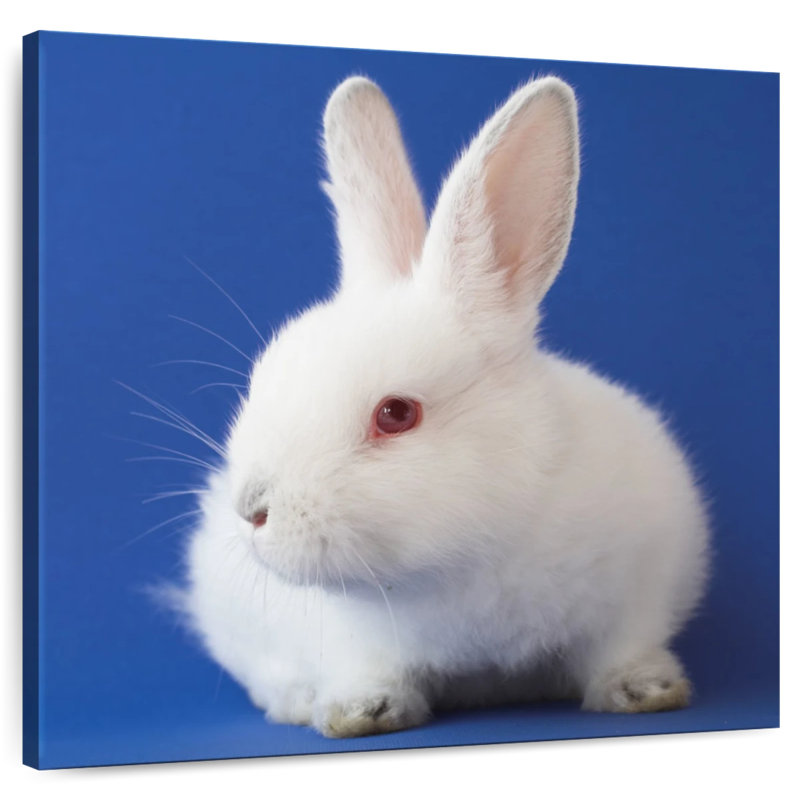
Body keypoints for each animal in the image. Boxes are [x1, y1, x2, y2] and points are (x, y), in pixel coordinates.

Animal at [182, 75, 710, 738]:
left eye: (395, 414)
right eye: (262, 380)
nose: (252, 511)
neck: (466, 554)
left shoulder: (640, 590)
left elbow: (624, 648)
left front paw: (646, 691)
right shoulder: (350, 640)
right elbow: (367, 671)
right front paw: (361, 713)